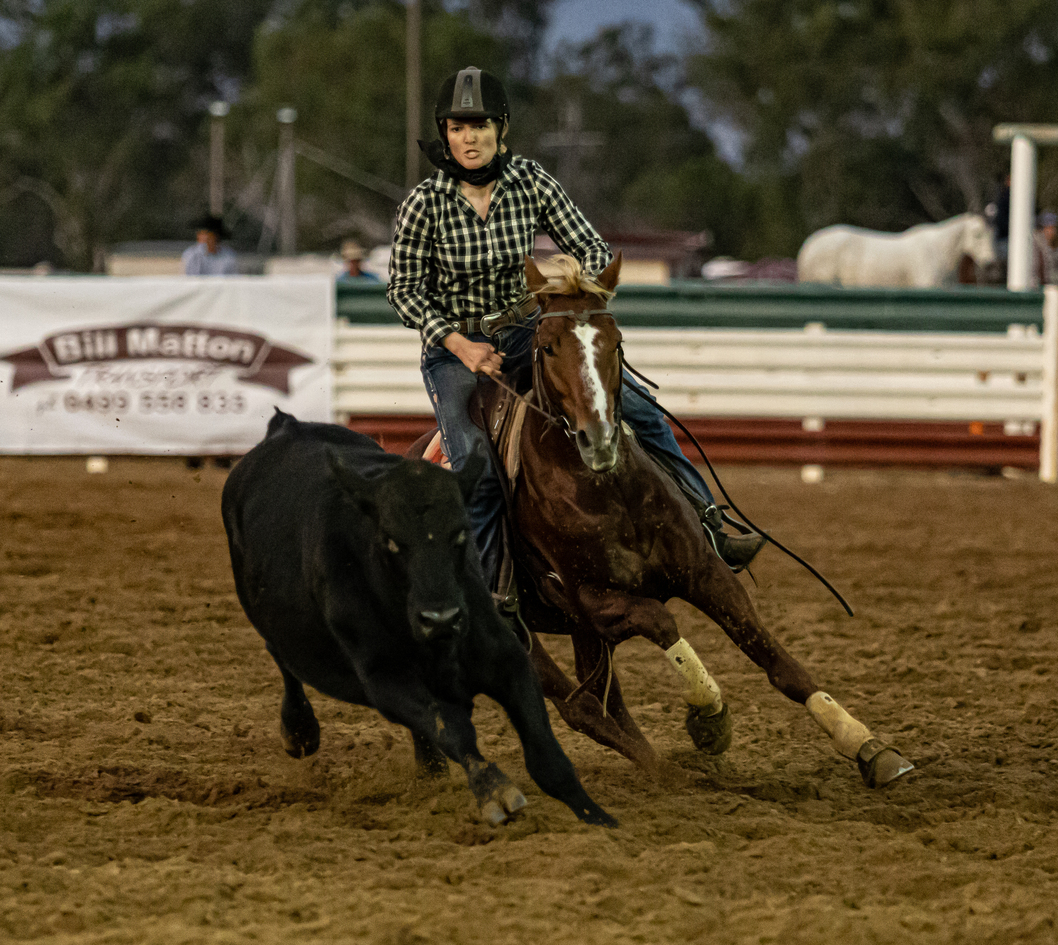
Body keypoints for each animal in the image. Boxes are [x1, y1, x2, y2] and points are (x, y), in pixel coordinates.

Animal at [221, 409, 615, 827]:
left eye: (460, 534)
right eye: (392, 542)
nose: (440, 618)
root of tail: (288, 427)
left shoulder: (506, 659)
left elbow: (545, 751)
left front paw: (600, 819)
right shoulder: (386, 680)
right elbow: (450, 727)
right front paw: (494, 789)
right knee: (282, 659)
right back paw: (299, 730)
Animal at [425, 253, 911, 790]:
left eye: (615, 341)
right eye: (548, 346)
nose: (598, 438)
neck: (610, 491)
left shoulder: (706, 574)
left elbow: (777, 662)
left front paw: (867, 745)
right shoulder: (597, 602)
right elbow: (663, 622)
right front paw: (710, 718)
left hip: (579, 633)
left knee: (603, 704)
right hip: (513, 636)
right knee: (580, 710)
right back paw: (667, 772)